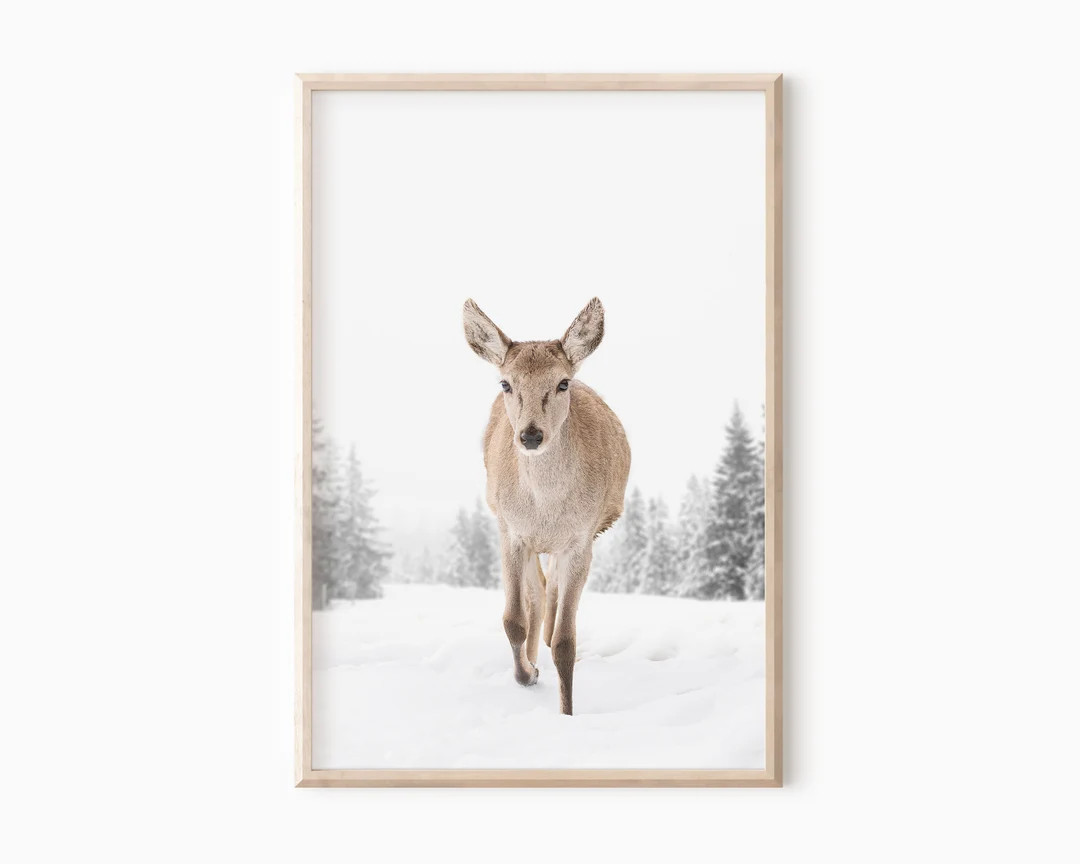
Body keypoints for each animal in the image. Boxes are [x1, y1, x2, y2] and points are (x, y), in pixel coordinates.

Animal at [463, 297, 631, 715]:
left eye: (562, 383)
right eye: (506, 383)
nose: (531, 435)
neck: (545, 509)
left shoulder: (579, 539)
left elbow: (567, 641)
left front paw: (566, 712)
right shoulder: (510, 531)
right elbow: (513, 619)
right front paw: (527, 674)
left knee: (551, 601)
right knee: (537, 594)